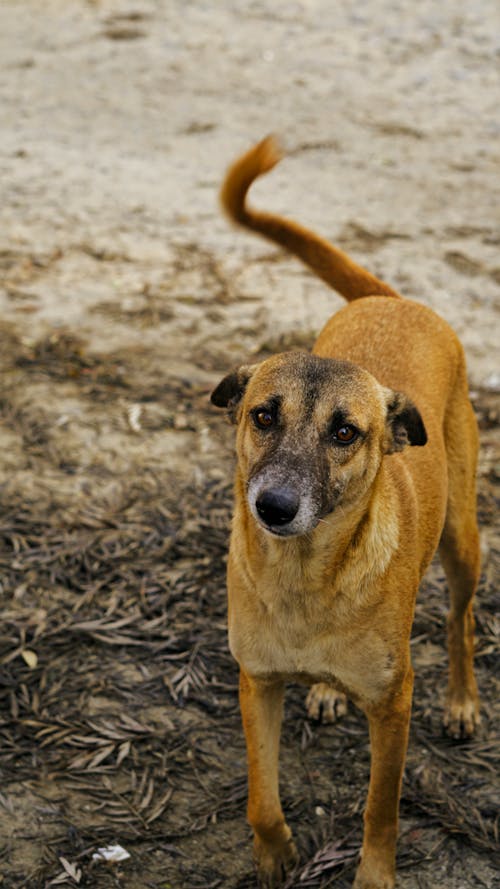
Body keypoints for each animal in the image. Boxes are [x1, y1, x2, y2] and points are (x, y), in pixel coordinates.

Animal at [210, 139, 480, 888]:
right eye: (262, 415)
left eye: (345, 433)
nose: (273, 506)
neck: (305, 577)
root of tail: (394, 300)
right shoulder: (256, 683)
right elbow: (261, 793)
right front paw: (275, 856)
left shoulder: (393, 704)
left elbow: (380, 808)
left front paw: (375, 876)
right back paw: (328, 694)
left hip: (464, 540)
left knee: (461, 621)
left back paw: (463, 701)